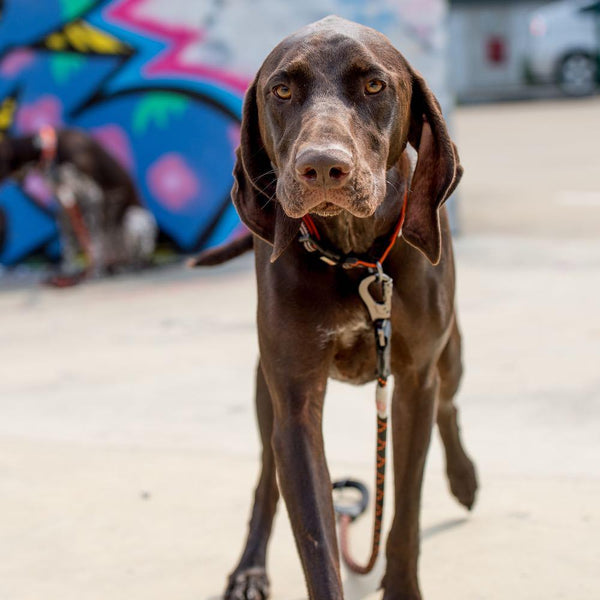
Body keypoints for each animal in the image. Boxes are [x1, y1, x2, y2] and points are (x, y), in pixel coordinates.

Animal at [204, 16, 480, 600]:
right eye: (282, 91)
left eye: (374, 85)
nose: (323, 167)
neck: (353, 256)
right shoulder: (294, 405)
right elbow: (315, 540)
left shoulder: (414, 383)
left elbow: (405, 511)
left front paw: (401, 585)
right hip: (266, 392)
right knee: (265, 479)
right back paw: (249, 567)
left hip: (450, 355)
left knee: (449, 403)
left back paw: (464, 478)